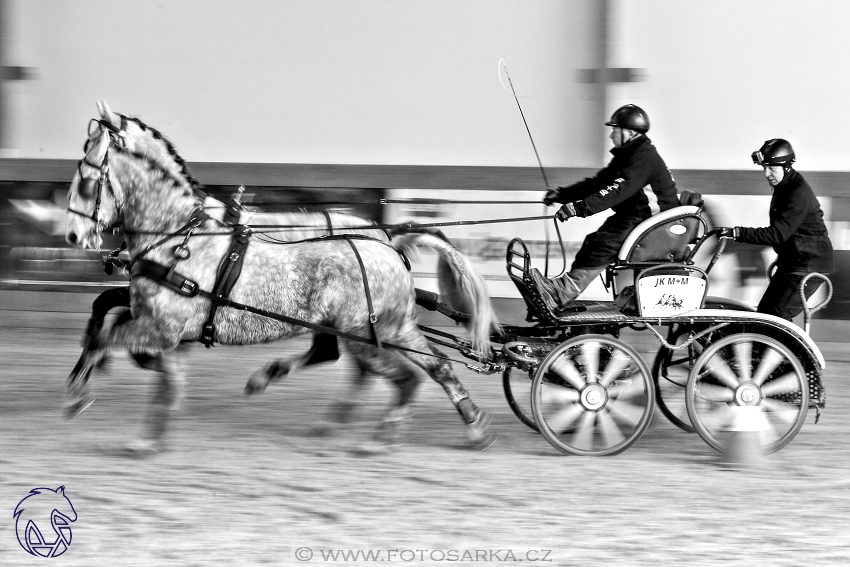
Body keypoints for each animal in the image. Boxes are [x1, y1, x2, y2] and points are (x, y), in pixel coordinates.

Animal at [69, 103, 500, 458]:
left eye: (87, 181)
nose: (74, 236)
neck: (180, 237)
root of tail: (389, 246)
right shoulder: (158, 325)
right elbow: (120, 330)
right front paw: (151, 430)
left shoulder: (163, 328)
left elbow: (110, 338)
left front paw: (80, 395)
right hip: (392, 328)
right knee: (432, 367)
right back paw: (473, 427)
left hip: (365, 333)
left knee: (400, 375)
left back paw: (377, 436)